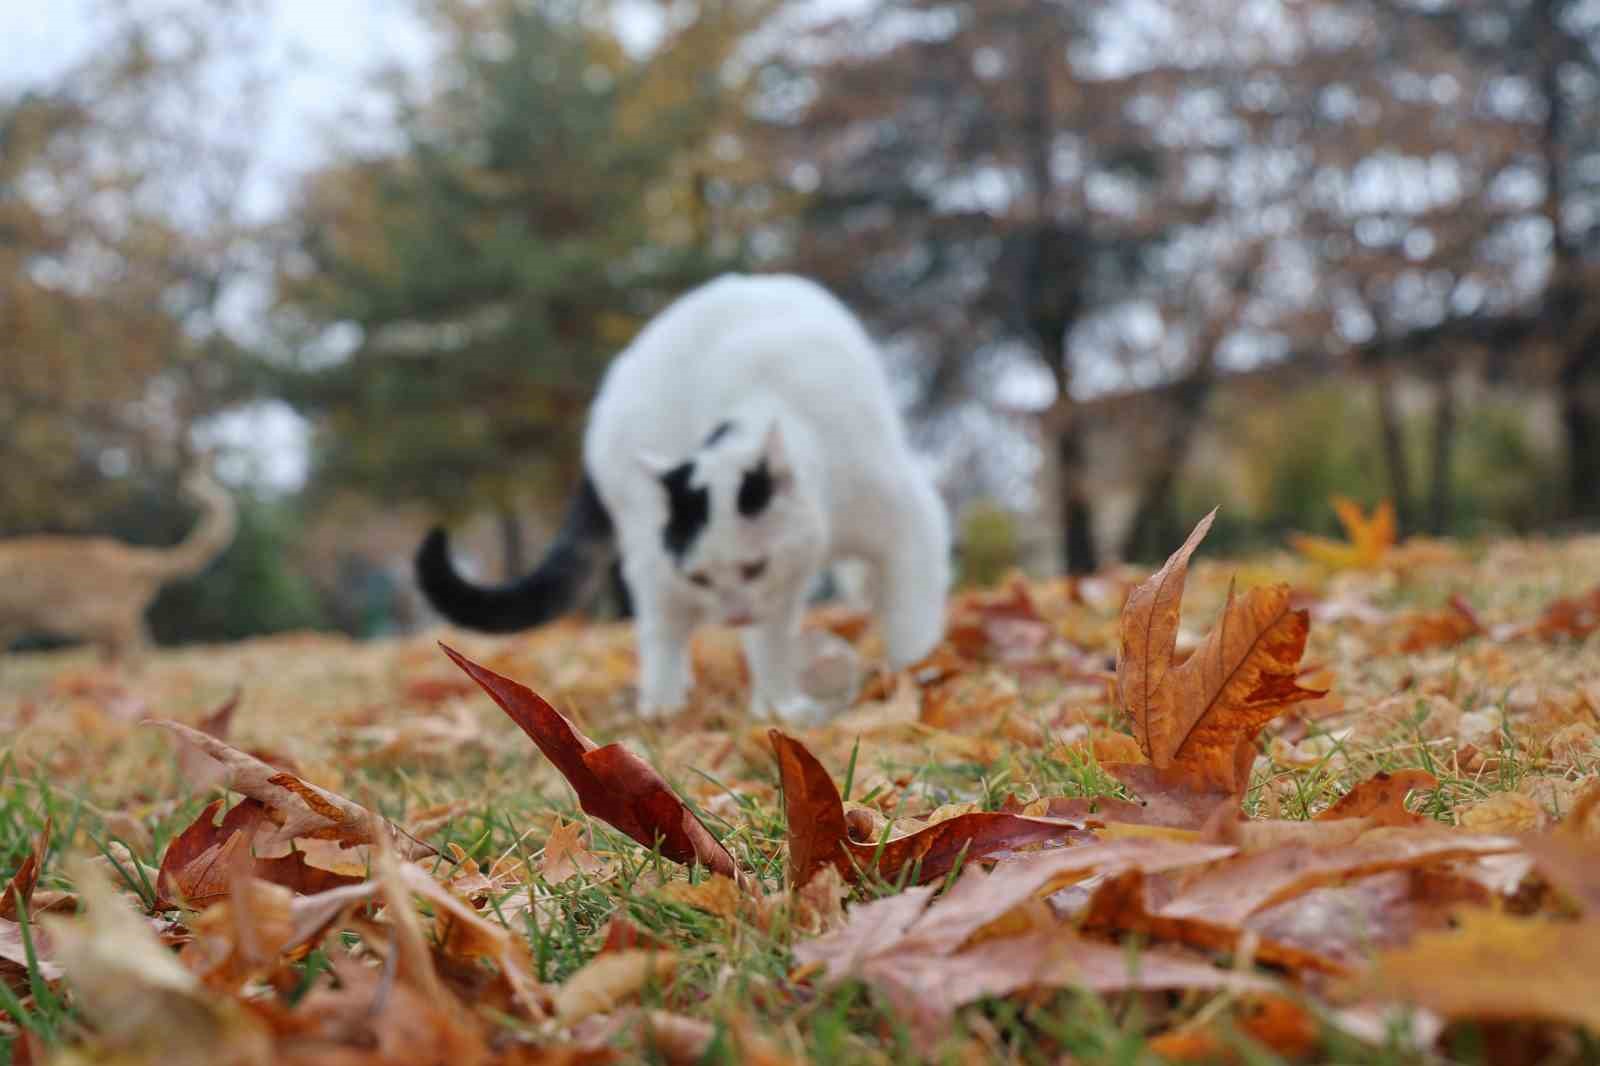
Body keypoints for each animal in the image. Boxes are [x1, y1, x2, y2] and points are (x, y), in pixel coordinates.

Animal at [419, 273, 953, 723]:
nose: (734, 615)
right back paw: (664, 705)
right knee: (662, 629)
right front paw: (780, 709)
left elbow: (908, 614)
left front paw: (914, 672)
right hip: (649, 556)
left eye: (754, 567)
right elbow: (767, 642)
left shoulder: (905, 526)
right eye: (701, 577)